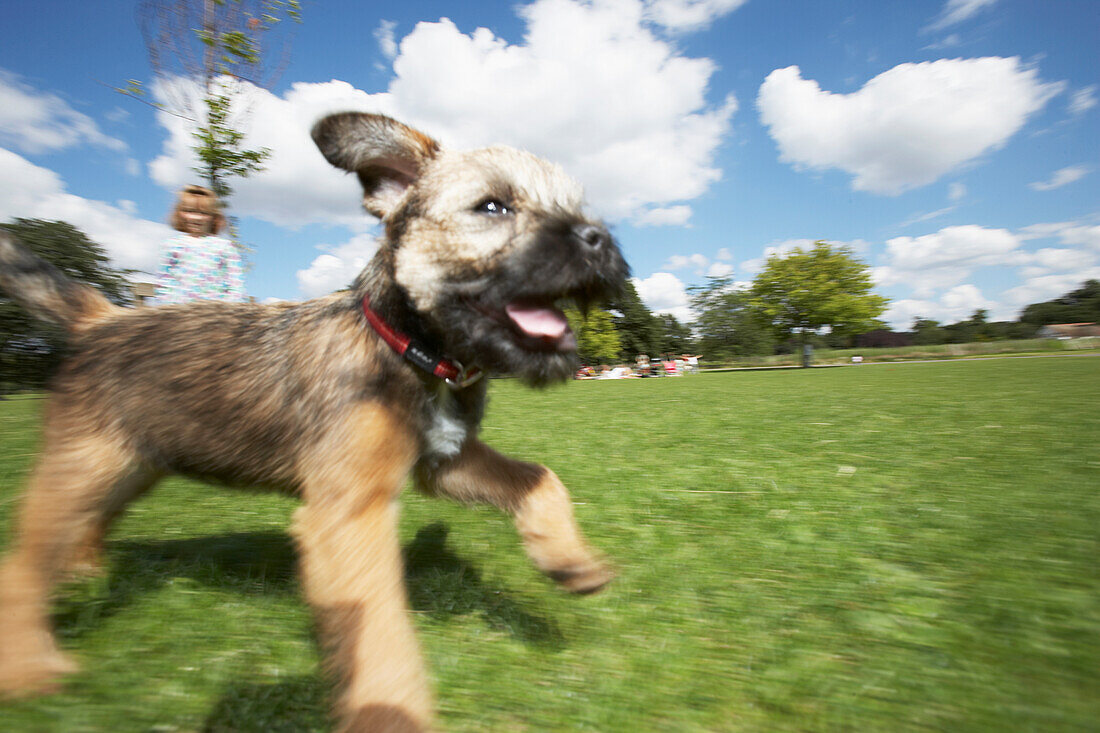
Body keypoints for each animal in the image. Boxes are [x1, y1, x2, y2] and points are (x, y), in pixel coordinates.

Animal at [0, 111, 629, 726]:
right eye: (492, 206)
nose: (600, 239)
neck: (409, 349)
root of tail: (99, 320)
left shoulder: (445, 461)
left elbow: (539, 478)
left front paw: (569, 561)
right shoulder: (350, 513)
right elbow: (380, 632)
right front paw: (389, 712)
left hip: (134, 464)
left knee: (85, 525)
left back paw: (83, 571)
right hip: (84, 466)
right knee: (22, 564)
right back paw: (30, 667)